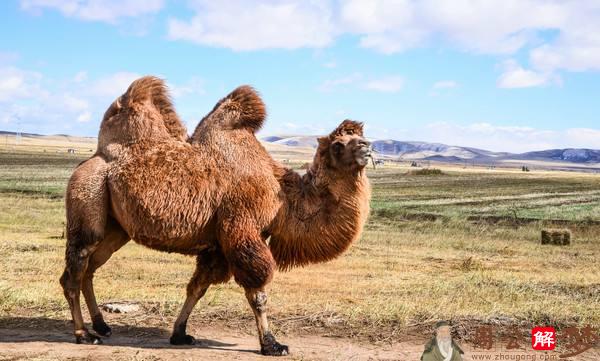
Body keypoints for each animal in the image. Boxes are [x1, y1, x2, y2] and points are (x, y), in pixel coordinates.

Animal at [59, 76, 370, 354]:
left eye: (361, 137)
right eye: (338, 145)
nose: (366, 148)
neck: (282, 196)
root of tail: (93, 157)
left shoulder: (219, 244)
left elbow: (197, 287)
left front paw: (180, 334)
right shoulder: (241, 228)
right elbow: (257, 291)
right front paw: (272, 344)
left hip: (116, 228)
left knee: (90, 269)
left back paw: (102, 326)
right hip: (88, 196)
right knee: (74, 270)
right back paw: (84, 334)